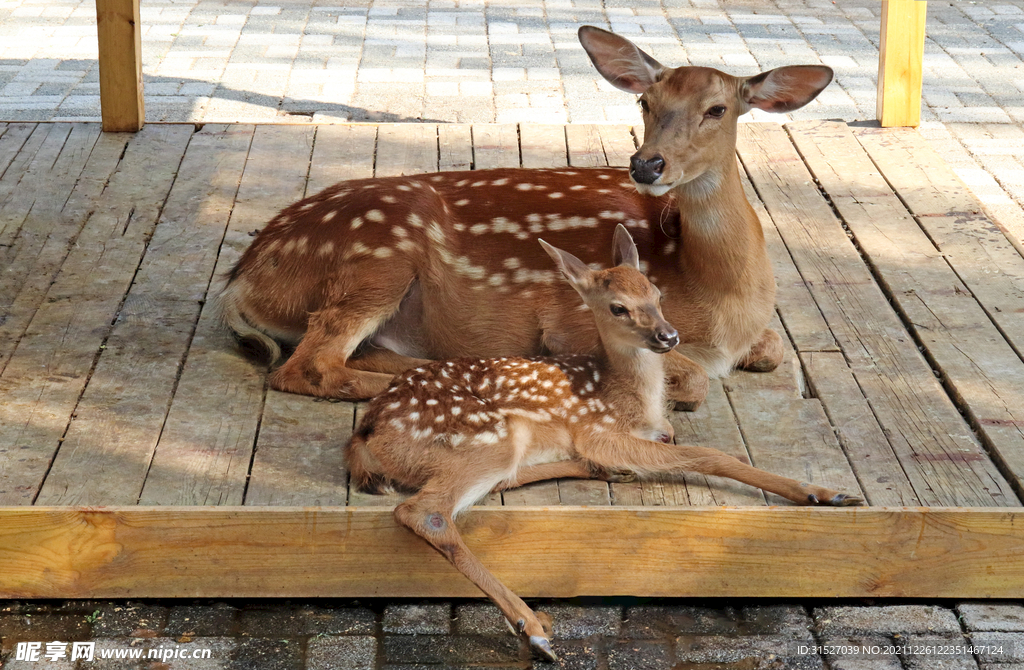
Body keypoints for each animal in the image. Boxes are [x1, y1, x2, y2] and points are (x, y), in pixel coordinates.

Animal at [216, 26, 831, 409]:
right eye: (645, 103)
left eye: (718, 109)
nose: (646, 163)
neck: (720, 297)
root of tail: (241, 280)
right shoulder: (579, 321)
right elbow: (695, 377)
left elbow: (774, 350)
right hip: (377, 256)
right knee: (306, 366)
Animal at [348, 228, 860, 663]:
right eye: (617, 307)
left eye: (657, 294)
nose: (669, 336)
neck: (632, 399)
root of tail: (366, 433)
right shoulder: (598, 429)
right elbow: (709, 454)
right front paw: (823, 491)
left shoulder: (641, 430)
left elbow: (675, 440)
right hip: (488, 436)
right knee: (426, 511)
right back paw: (534, 629)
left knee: (495, 484)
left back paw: (607, 475)